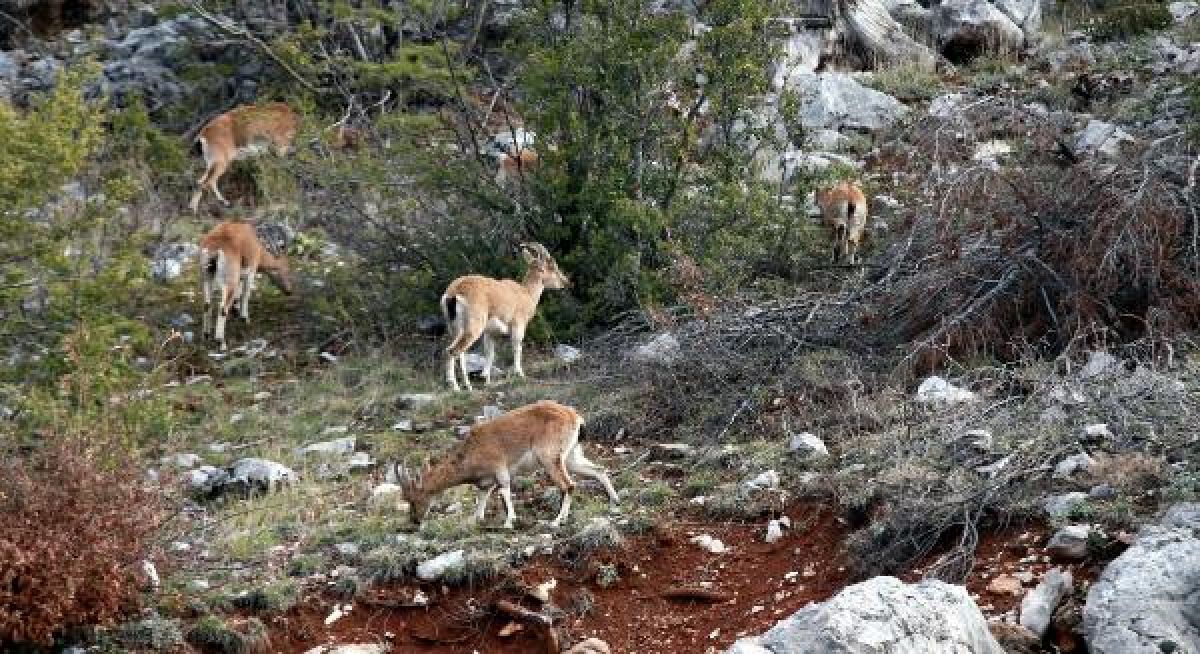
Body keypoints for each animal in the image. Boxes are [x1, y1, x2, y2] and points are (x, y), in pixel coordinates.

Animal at [196, 220, 292, 352]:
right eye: (286, 269)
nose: (289, 291)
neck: (258, 247)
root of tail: (215, 250)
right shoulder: (251, 270)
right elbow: (246, 294)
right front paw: (244, 318)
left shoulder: (241, 275)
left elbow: (239, 293)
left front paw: (236, 310)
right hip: (229, 281)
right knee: (223, 308)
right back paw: (221, 342)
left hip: (206, 278)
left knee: (207, 304)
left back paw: (206, 335)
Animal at [396, 398, 619, 530]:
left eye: (413, 499)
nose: (414, 521)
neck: (471, 451)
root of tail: (574, 417)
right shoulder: (485, 482)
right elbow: (482, 498)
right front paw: (476, 519)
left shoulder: (499, 469)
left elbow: (504, 490)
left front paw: (509, 522)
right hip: (571, 456)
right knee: (598, 470)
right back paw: (614, 501)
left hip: (549, 457)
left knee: (569, 485)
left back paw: (557, 521)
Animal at [444, 242, 568, 391]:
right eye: (552, 267)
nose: (565, 282)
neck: (526, 293)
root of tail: (454, 294)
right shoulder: (518, 325)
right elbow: (517, 347)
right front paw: (520, 374)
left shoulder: (489, 333)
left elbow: (490, 354)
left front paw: (486, 379)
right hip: (473, 327)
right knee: (452, 351)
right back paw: (455, 387)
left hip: (454, 329)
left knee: (459, 352)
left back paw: (468, 386)